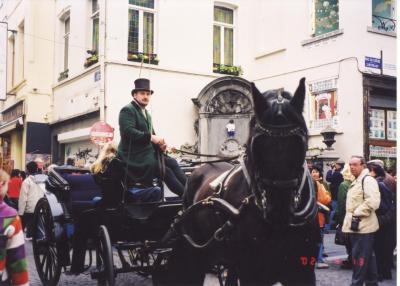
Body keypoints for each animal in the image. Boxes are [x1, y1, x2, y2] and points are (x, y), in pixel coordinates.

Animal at [158, 77, 320, 286]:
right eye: (256, 144)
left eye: (300, 142)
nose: (279, 212)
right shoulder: (252, 272)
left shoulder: (302, 271)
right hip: (197, 249)